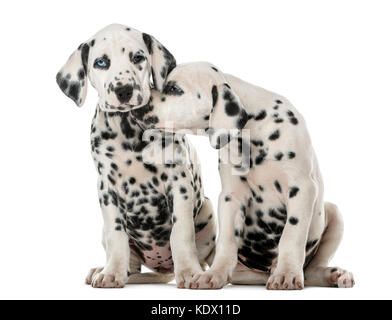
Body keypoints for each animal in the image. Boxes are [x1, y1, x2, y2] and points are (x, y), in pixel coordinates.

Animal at [55, 26, 216, 288]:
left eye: (138, 58)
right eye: (101, 62)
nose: (124, 90)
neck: (128, 130)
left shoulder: (179, 184)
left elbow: (181, 233)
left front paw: (189, 271)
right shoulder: (107, 189)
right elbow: (117, 235)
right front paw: (112, 273)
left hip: (208, 211)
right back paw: (105, 269)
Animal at [132, 62, 356, 290]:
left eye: (174, 89)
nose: (138, 103)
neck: (255, 133)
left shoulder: (302, 189)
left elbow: (291, 236)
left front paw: (286, 273)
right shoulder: (231, 198)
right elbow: (227, 241)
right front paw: (214, 274)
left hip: (333, 213)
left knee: (312, 269)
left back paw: (332, 274)